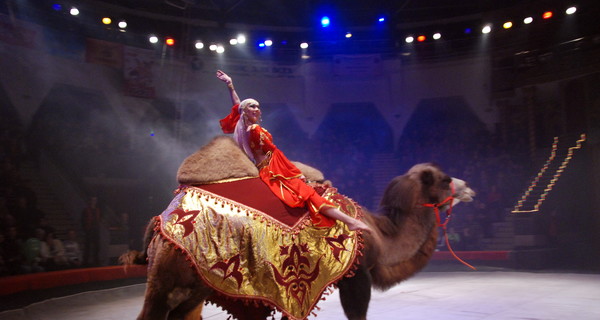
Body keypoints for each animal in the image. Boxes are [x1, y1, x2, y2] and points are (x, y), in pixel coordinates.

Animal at [124, 136, 476, 320]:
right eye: (444, 179)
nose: (469, 187)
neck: (379, 234)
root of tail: (162, 219)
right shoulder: (356, 275)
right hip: (166, 278)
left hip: (196, 282)